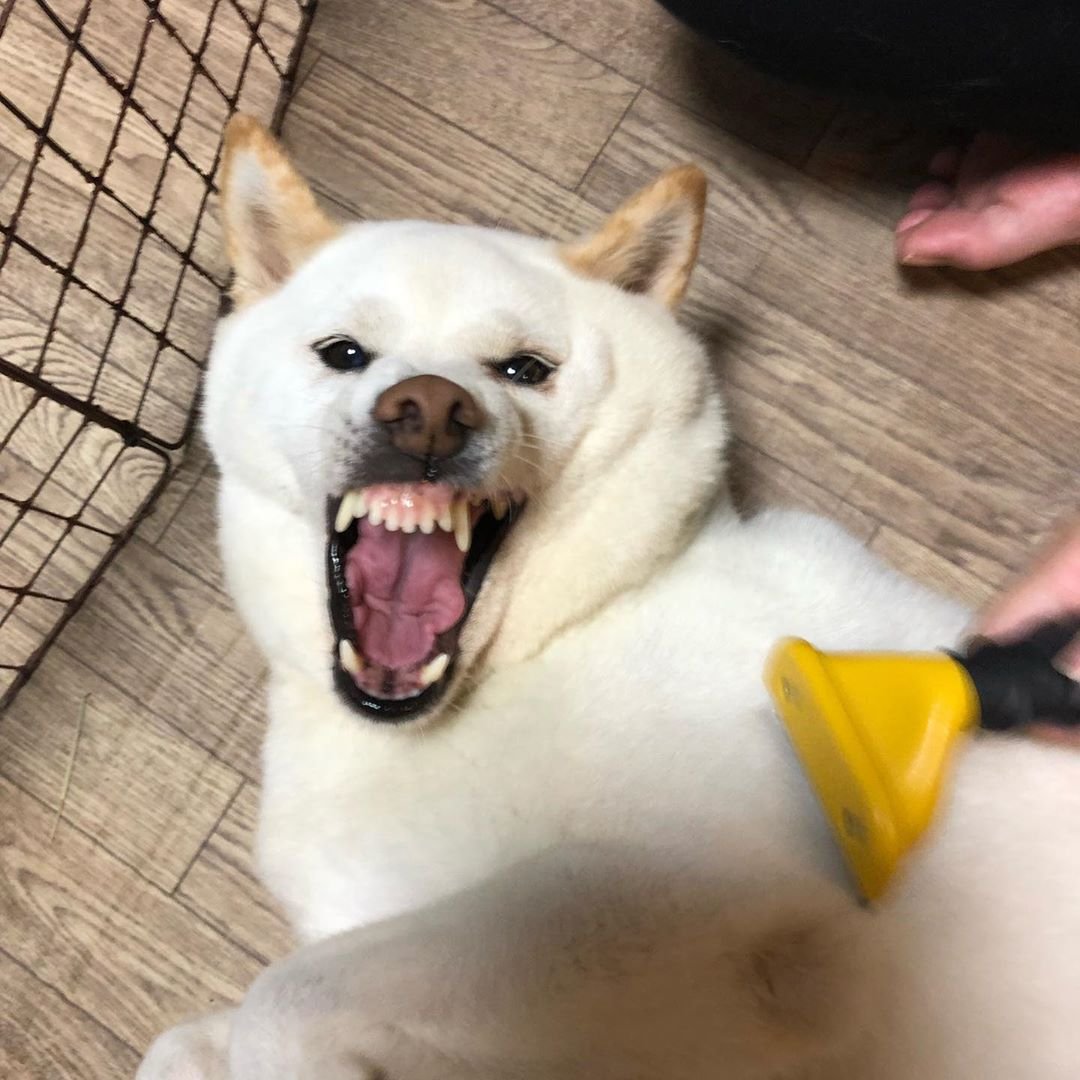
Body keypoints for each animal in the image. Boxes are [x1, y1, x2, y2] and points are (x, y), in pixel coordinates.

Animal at [139, 116, 1080, 1080]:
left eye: (524, 369)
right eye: (344, 355)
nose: (429, 408)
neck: (561, 636)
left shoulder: (695, 893)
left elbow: (289, 994)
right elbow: (183, 1042)